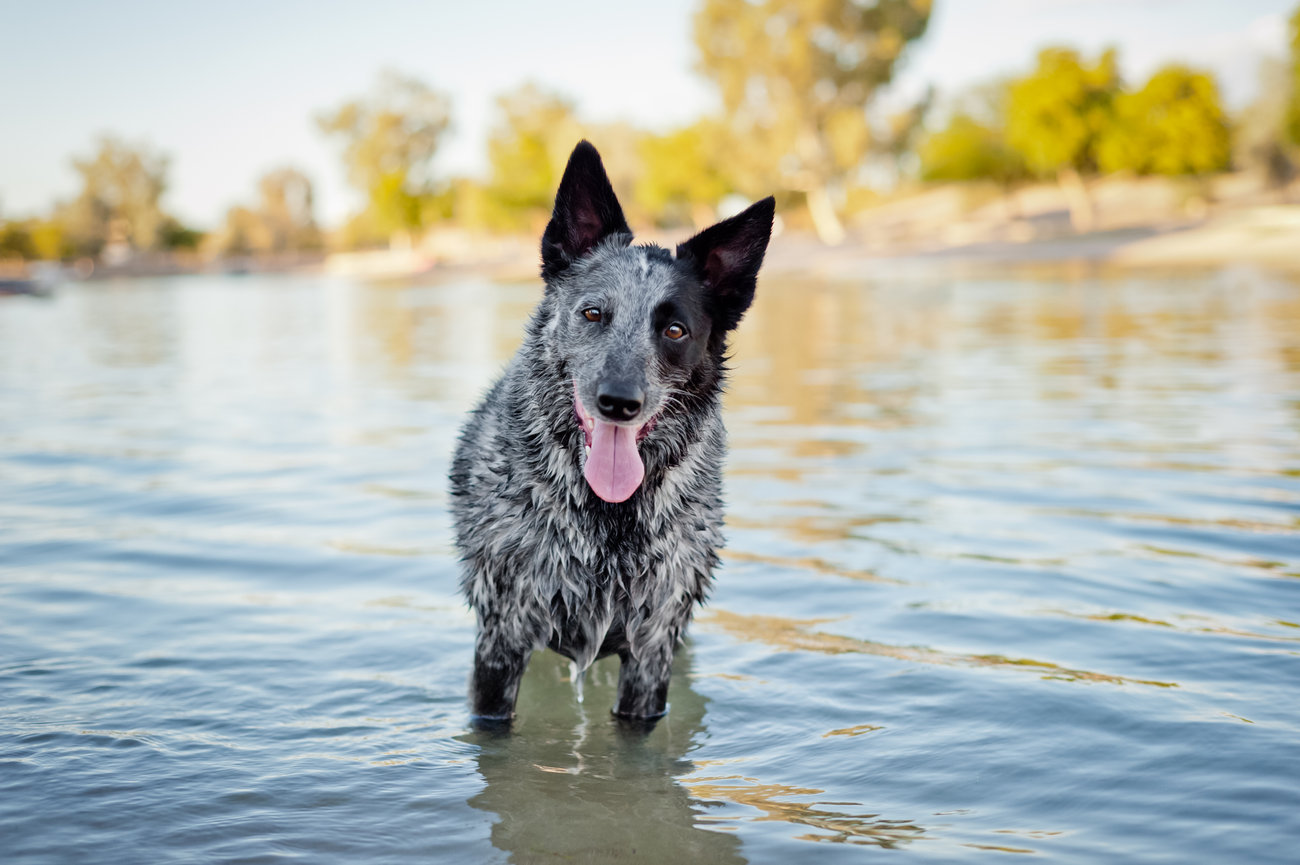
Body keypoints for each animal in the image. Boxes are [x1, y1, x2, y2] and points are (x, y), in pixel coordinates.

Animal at [450, 140, 774, 722]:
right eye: (593, 313)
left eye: (675, 330)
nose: (619, 402)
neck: (607, 522)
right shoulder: (503, 636)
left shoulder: (653, 646)